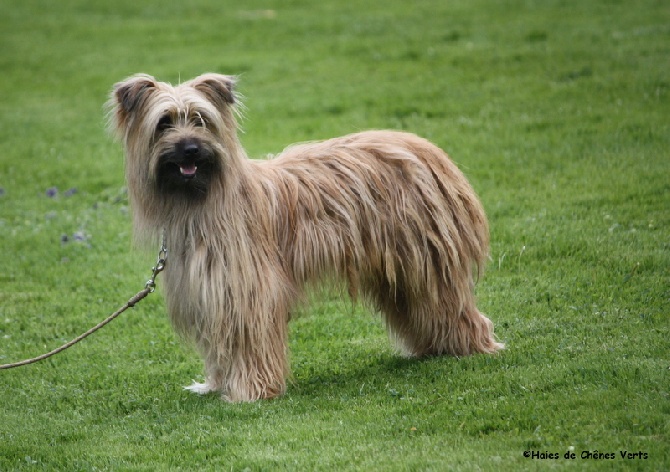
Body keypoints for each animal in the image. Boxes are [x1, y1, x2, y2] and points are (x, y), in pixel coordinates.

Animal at [109, 73, 504, 402]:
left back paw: (470, 345)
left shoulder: (247, 291)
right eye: (163, 123)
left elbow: (249, 340)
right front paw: (217, 384)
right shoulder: (209, 292)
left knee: (448, 303)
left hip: (426, 259)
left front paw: (250, 391)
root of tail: (427, 149)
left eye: (201, 120)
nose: (190, 149)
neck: (200, 200)